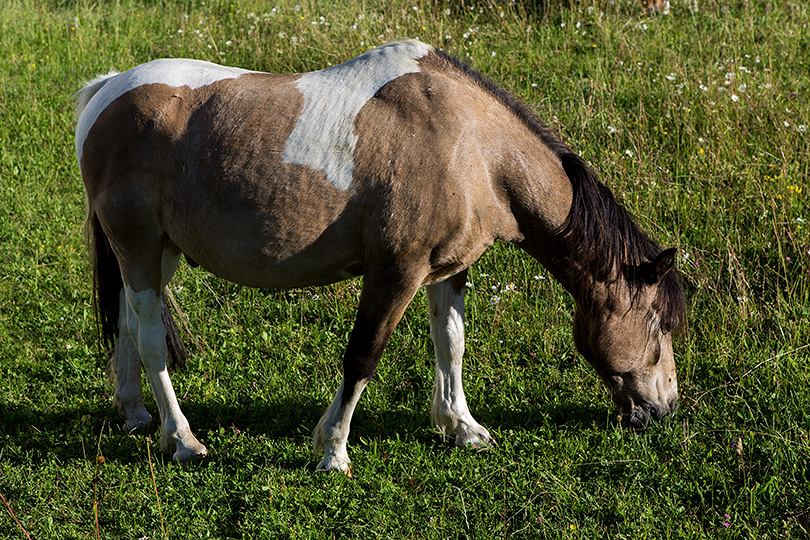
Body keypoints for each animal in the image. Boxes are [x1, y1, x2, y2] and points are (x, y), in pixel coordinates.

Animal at [74, 41, 680, 472]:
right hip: (139, 244)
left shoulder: (448, 270)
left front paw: (461, 427)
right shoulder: (396, 272)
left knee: (128, 321)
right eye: (660, 322)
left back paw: (134, 413)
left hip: (159, 251)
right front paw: (333, 449)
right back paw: (181, 439)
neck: (474, 148)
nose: (665, 409)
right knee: (151, 340)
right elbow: (363, 355)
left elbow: (451, 344)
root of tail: (106, 92)